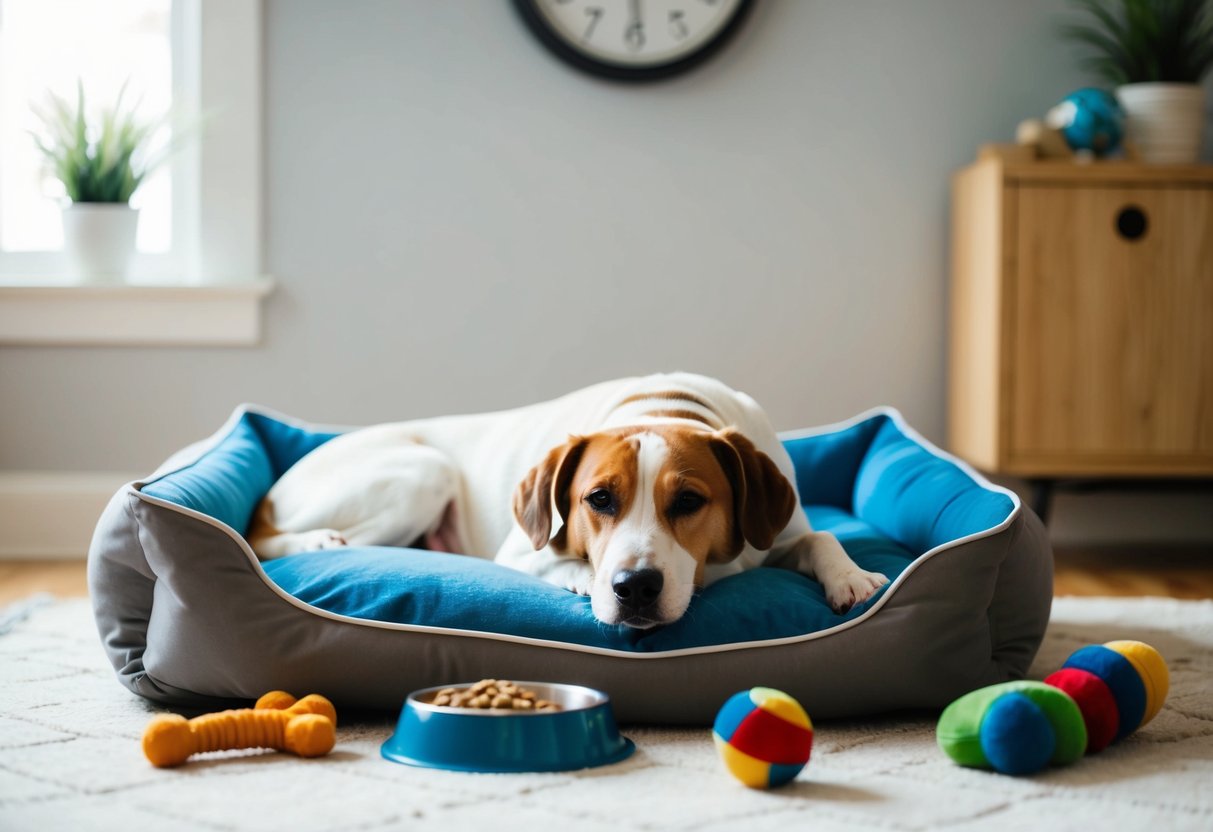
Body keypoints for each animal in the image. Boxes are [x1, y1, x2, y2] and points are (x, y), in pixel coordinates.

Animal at [248, 375, 892, 630]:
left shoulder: (779, 534)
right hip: (423, 473)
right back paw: (315, 539)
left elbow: (820, 536)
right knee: (269, 540)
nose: (634, 587)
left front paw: (850, 577)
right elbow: (554, 558)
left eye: (689, 500)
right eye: (598, 498)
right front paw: (584, 577)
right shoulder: (518, 549)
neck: (665, 404)